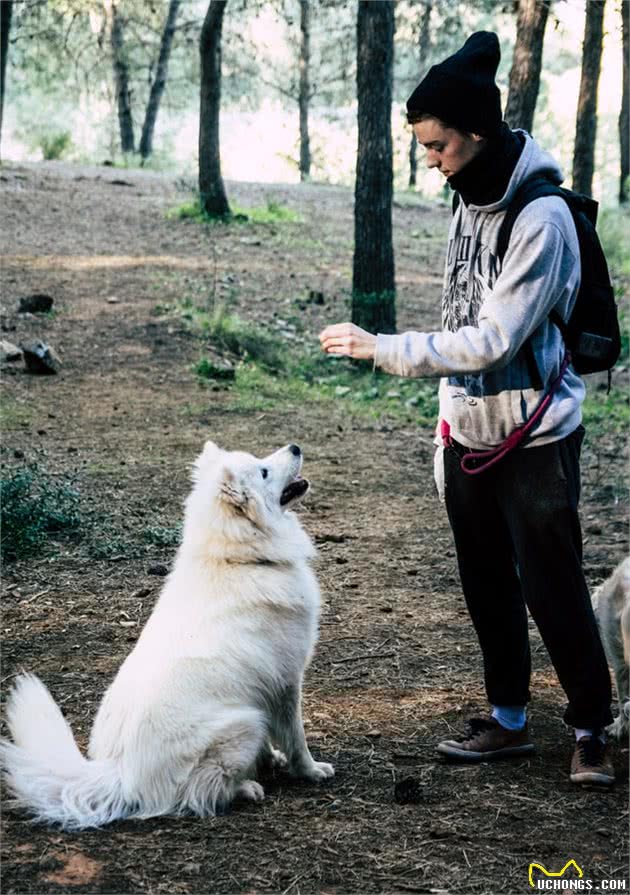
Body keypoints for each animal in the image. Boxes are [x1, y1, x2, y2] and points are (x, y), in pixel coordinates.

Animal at [1, 444, 336, 828]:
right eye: (263, 471)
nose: (295, 447)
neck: (236, 559)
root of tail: (120, 775)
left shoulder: (260, 690)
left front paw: (270, 760)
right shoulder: (286, 682)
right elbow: (296, 738)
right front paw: (311, 771)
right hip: (243, 725)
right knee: (197, 791)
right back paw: (245, 788)